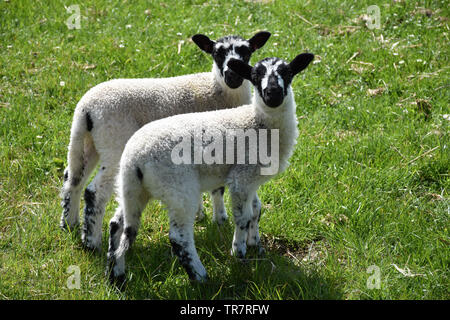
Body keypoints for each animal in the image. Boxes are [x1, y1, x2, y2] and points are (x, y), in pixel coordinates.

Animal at [59, 30, 270, 250]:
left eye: (246, 52)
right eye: (216, 54)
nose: (232, 76)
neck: (217, 91)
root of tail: (86, 108)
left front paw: (202, 214)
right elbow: (218, 189)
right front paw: (219, 218)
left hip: (87, 142)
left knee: (72, 179)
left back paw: (69, 224)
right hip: (114, 143)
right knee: (94, 191)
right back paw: (92, 242)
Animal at [107, 53, 314, 284]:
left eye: (287, 72)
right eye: (255, 76)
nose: (273, 93)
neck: (258, 124)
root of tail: (135, 157)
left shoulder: (251, 178)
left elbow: (256, 210)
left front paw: (256, 245)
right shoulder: (242, 177)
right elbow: (242, 218)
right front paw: (239, 253)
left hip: (132, 188)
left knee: (119, 224)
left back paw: (116, 273)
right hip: (178, 187)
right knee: (178, 238)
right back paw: (200, 276)